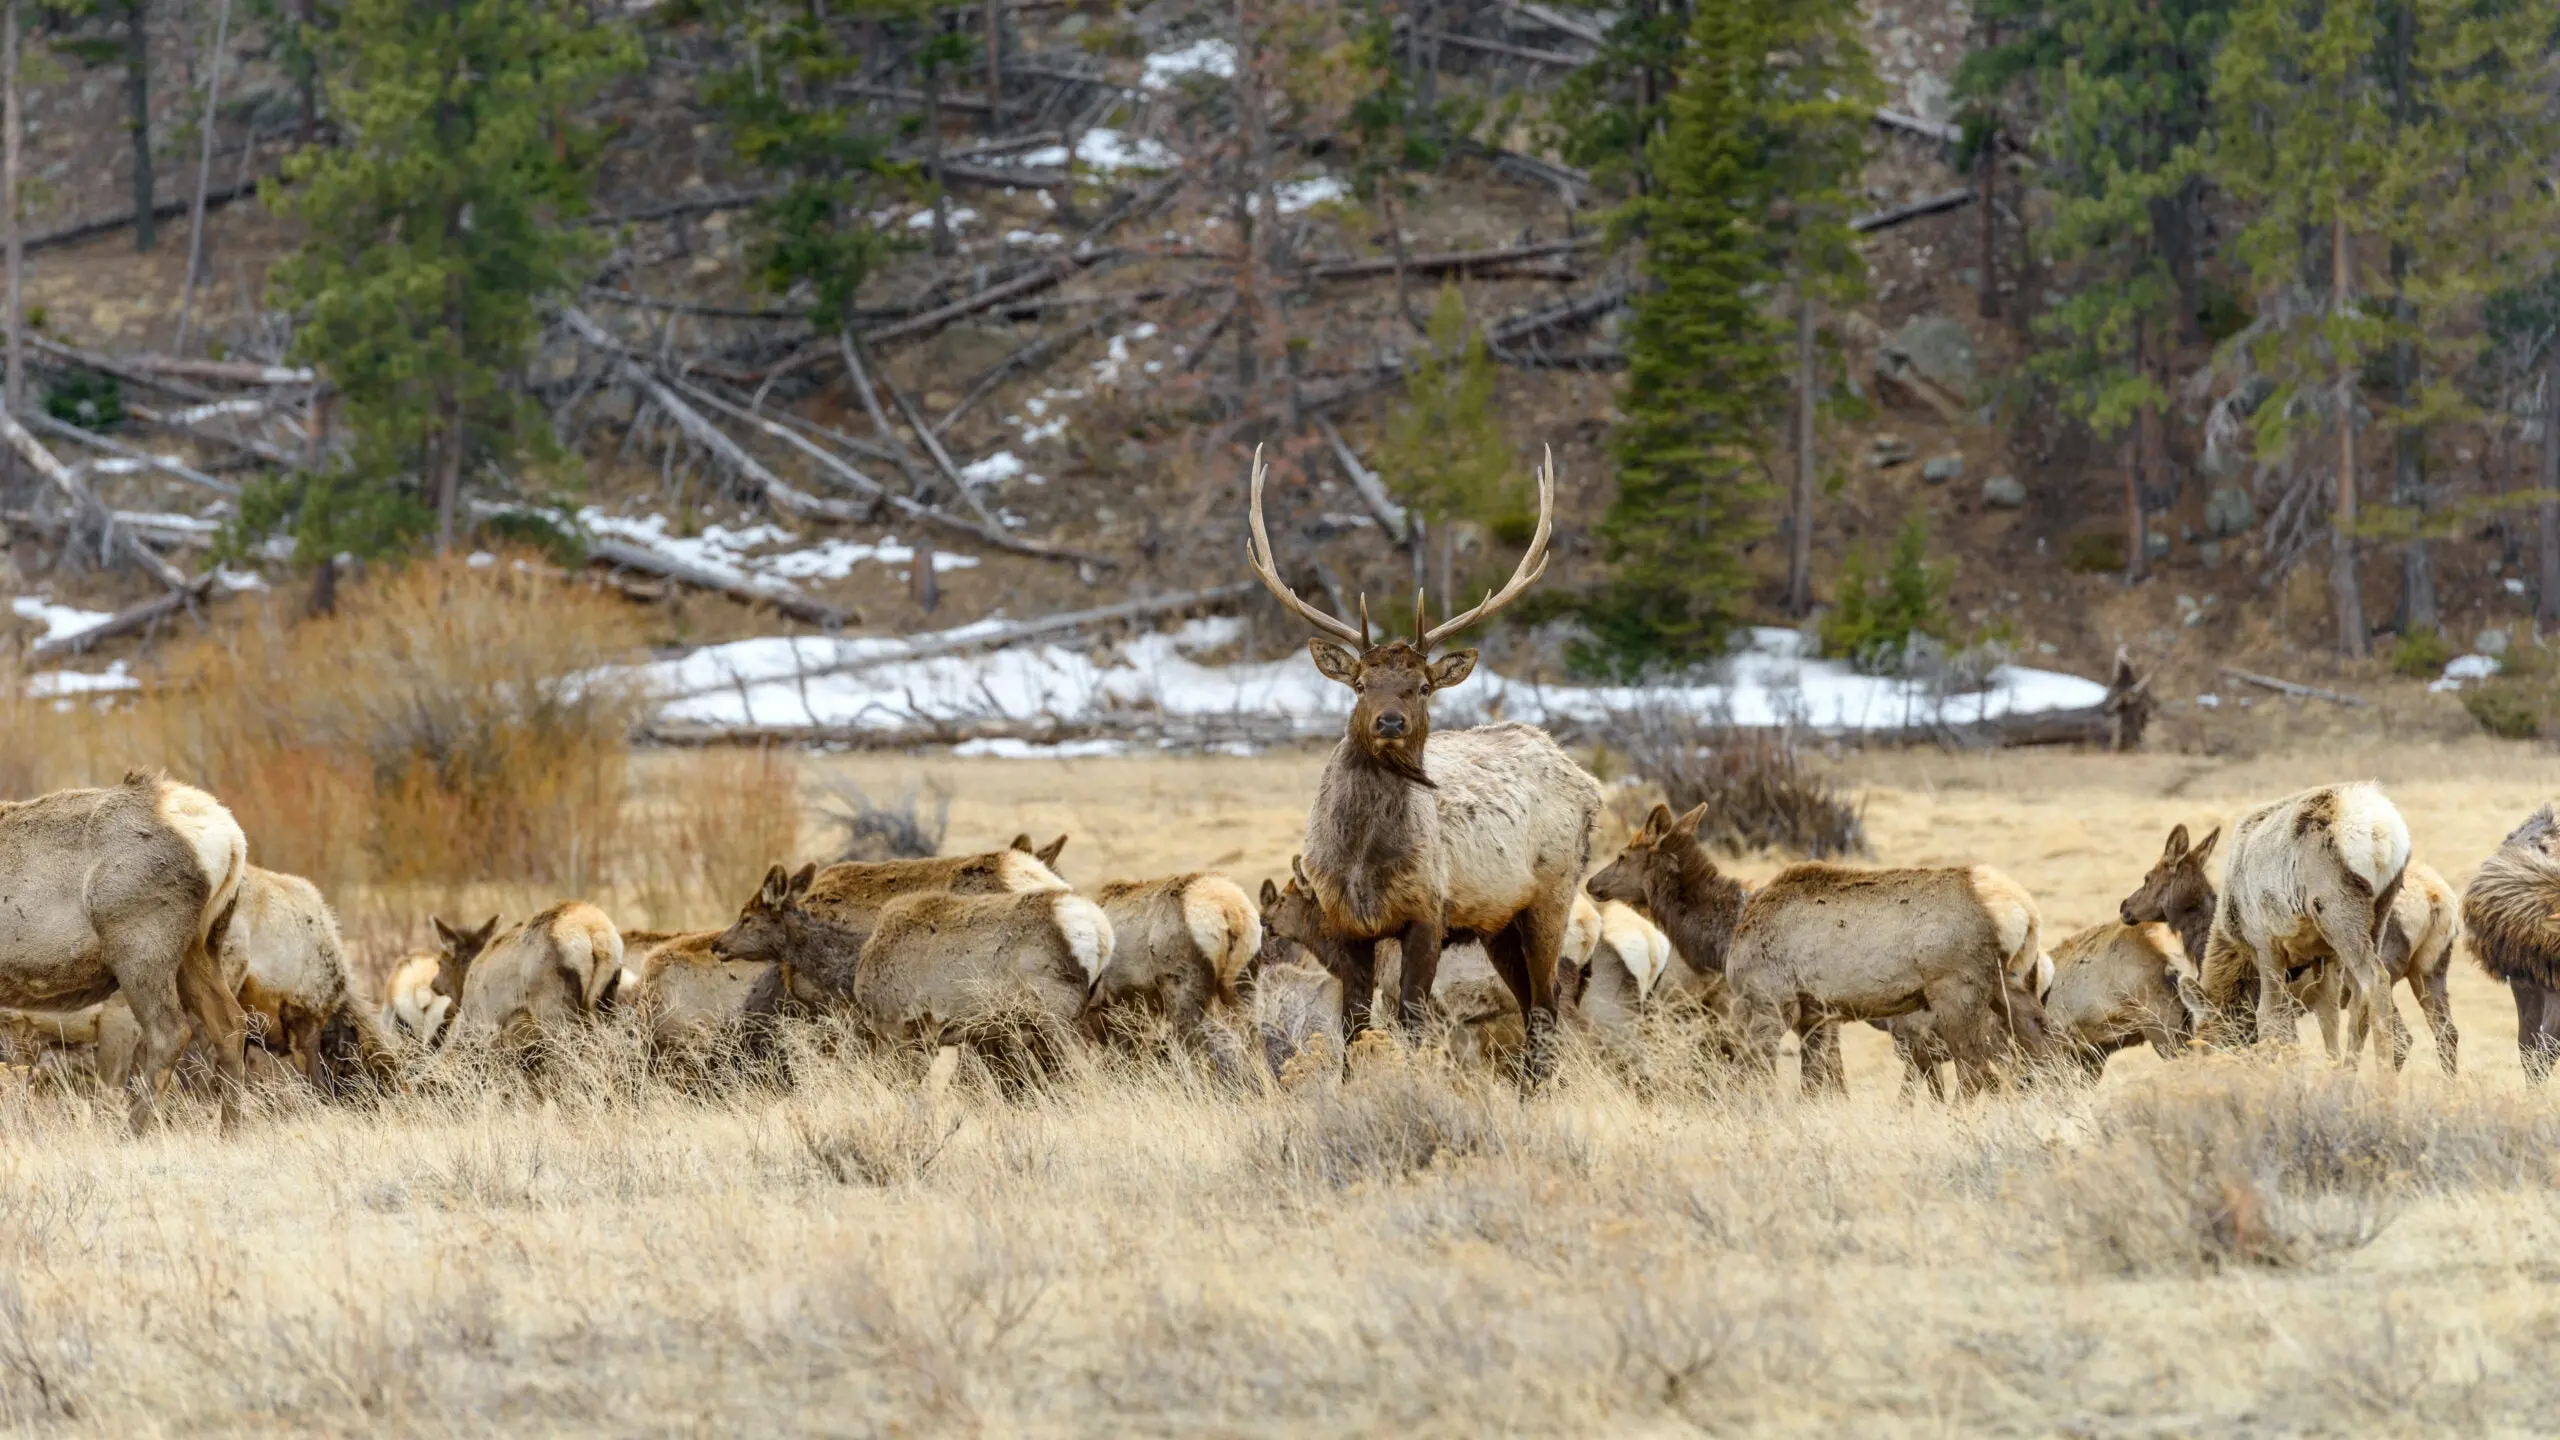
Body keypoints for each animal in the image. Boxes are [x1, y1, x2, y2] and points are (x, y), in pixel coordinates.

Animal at [1244, 443, 1597, 1071]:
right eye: (1360, 684)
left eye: (1424, 686)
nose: (1390, 721)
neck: (1362, 863)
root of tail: (1584, 778)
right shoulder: (1347, 925)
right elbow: (1353, 1026)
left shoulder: (1427, 912)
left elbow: (1410, 1021)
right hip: (1497, 922)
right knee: (1533, 1002)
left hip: (1553, 893)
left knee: (1545, 1009)